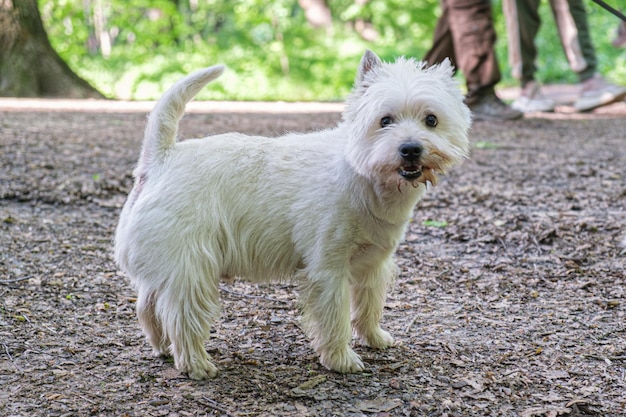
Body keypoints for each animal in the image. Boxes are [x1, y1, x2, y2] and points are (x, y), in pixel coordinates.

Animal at [114, 50, 470, 378]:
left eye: (431, 119)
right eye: (385, 120)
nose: (410, 149)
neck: (365, 176)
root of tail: (160, 159)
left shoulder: (373, 263)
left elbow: (369, 305)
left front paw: (375, 338)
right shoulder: (328, 268)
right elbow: (336, 317)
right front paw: (341, 359)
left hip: (168, 265)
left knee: (149, 305)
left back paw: (163, 347)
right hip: (191, 267)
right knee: (182, 317)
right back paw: (197, 364)